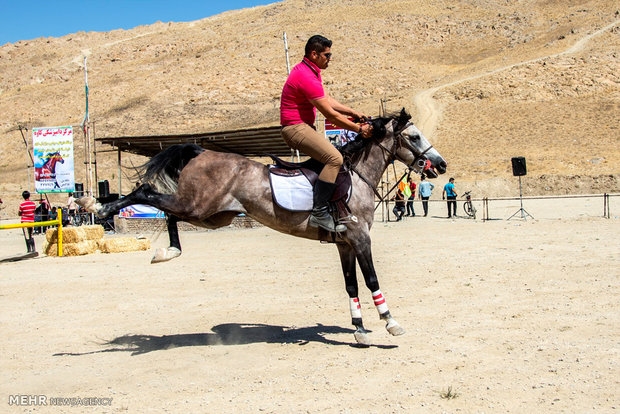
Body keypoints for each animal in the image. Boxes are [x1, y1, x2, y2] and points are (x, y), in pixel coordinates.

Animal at [78, 110, 446, 346]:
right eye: (414, 136)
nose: (440, 165)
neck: (356, 177)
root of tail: (201, 151)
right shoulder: (359, 237)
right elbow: (371, 280)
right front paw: (390, 323)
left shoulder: (344, 243)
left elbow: (351, 285)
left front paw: (358, 329)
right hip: (199, 206)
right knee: (145, 192)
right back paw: (97, 206)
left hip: (210, 213)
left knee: (167, 211)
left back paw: (168, 251)